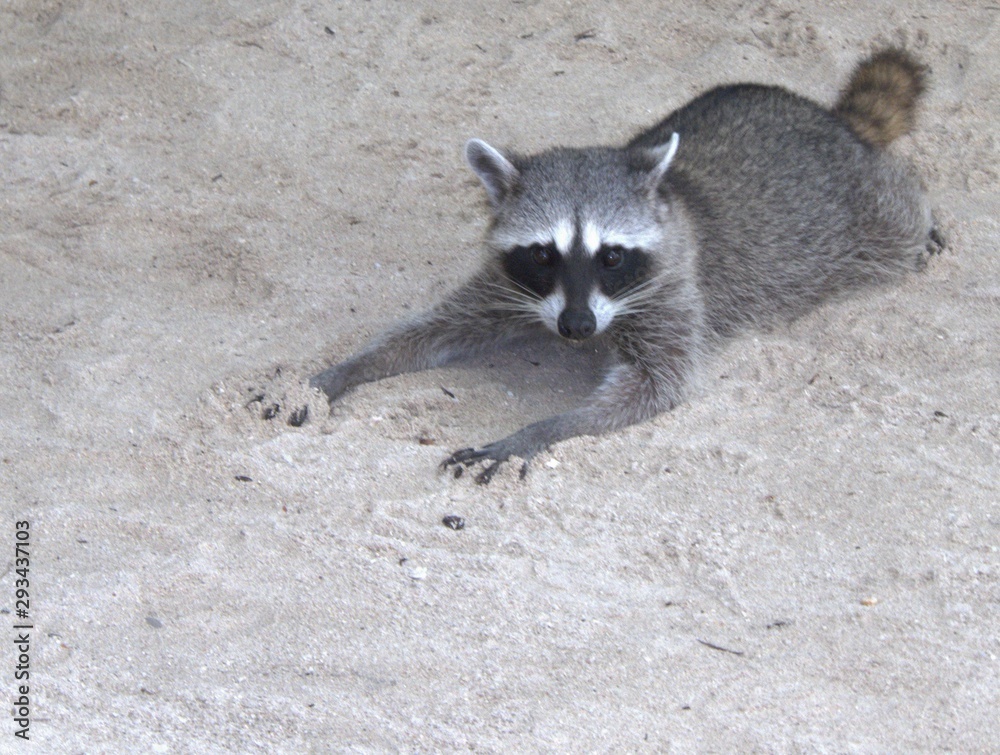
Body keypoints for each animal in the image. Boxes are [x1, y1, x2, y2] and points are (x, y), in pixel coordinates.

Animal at [310, 48, 939, 484]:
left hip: (866, 220)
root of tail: (833, 122)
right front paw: (344, 371)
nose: (576, 328)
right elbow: (437, 327)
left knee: (898, 213)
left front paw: (537, 430)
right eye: (543, 253)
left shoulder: (675, 292)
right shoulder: (512, 282)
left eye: (611, 255)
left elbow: (658, 384)